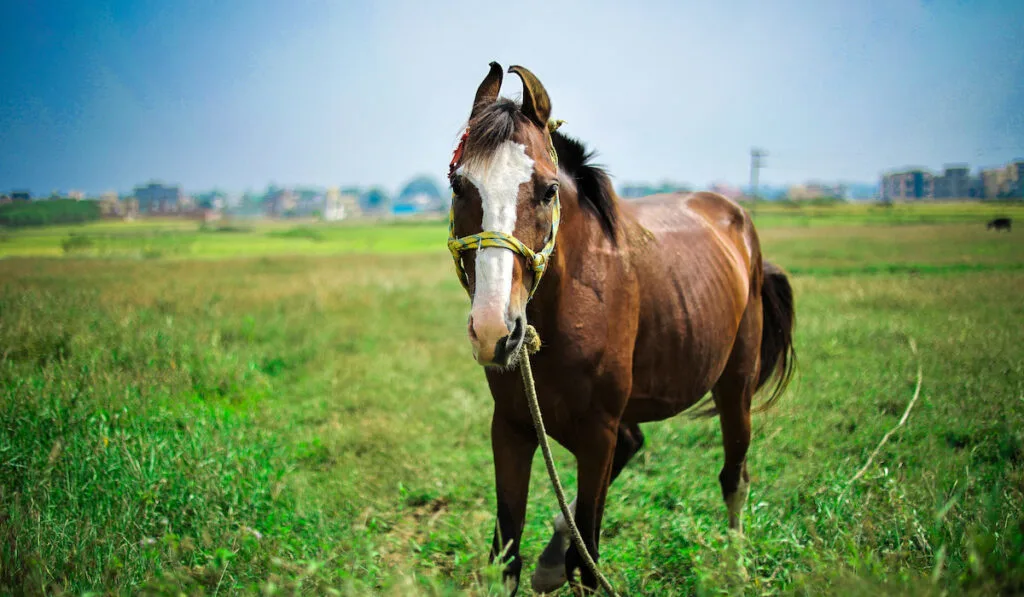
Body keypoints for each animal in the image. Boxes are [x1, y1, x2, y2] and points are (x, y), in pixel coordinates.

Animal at [444, 62, 794, 593]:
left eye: (548, 190)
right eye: (458, 186)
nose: (493, 330)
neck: (573, 302)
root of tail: (738, 222)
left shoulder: (597, 434)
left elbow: (588, 561)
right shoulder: (511, 427)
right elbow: (506, 555)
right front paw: (545, 556)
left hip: (735, 384)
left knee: (734, 477)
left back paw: (735, 567)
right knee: (637, 447)